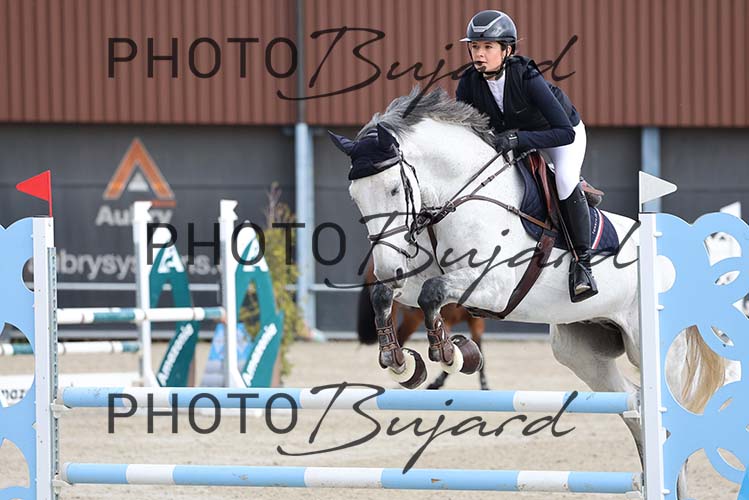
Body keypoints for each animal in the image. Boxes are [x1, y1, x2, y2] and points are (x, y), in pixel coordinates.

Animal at [357, 258, 488, 389]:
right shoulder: (445, 321)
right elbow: (447, 349)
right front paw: (435, 383)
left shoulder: (476, 322)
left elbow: (477, 348)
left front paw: (484, 384)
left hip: (412, 319)